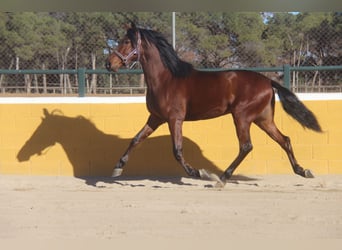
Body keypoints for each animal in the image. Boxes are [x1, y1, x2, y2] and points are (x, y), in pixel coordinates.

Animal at [105, 22, 322, 186]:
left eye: (126, 41)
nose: (109, 64)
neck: (166, 79)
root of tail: (268, 81)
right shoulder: (156, 117)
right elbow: (135, 139)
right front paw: (117, 168)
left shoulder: (174, 119)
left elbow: (177, 150)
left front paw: (200, 173)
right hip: (263, 120)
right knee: (284, 140)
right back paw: (302, 171)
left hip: (242, 117)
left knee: (246, 146)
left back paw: (222, 178)